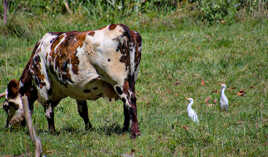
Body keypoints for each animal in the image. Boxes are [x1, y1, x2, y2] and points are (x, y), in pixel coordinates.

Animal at [0, 23, 141, 138]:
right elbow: (83, 111)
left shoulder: (43, 86)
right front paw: (89, 128)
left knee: (130, 101)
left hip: (119, 82)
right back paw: (124, 129)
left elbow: (48, 112)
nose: (8, 127)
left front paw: (52, 132)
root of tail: (121, 27)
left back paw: (134, 133)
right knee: (127, 105)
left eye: (6, 106)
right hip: (131, 78)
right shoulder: (80, 89)